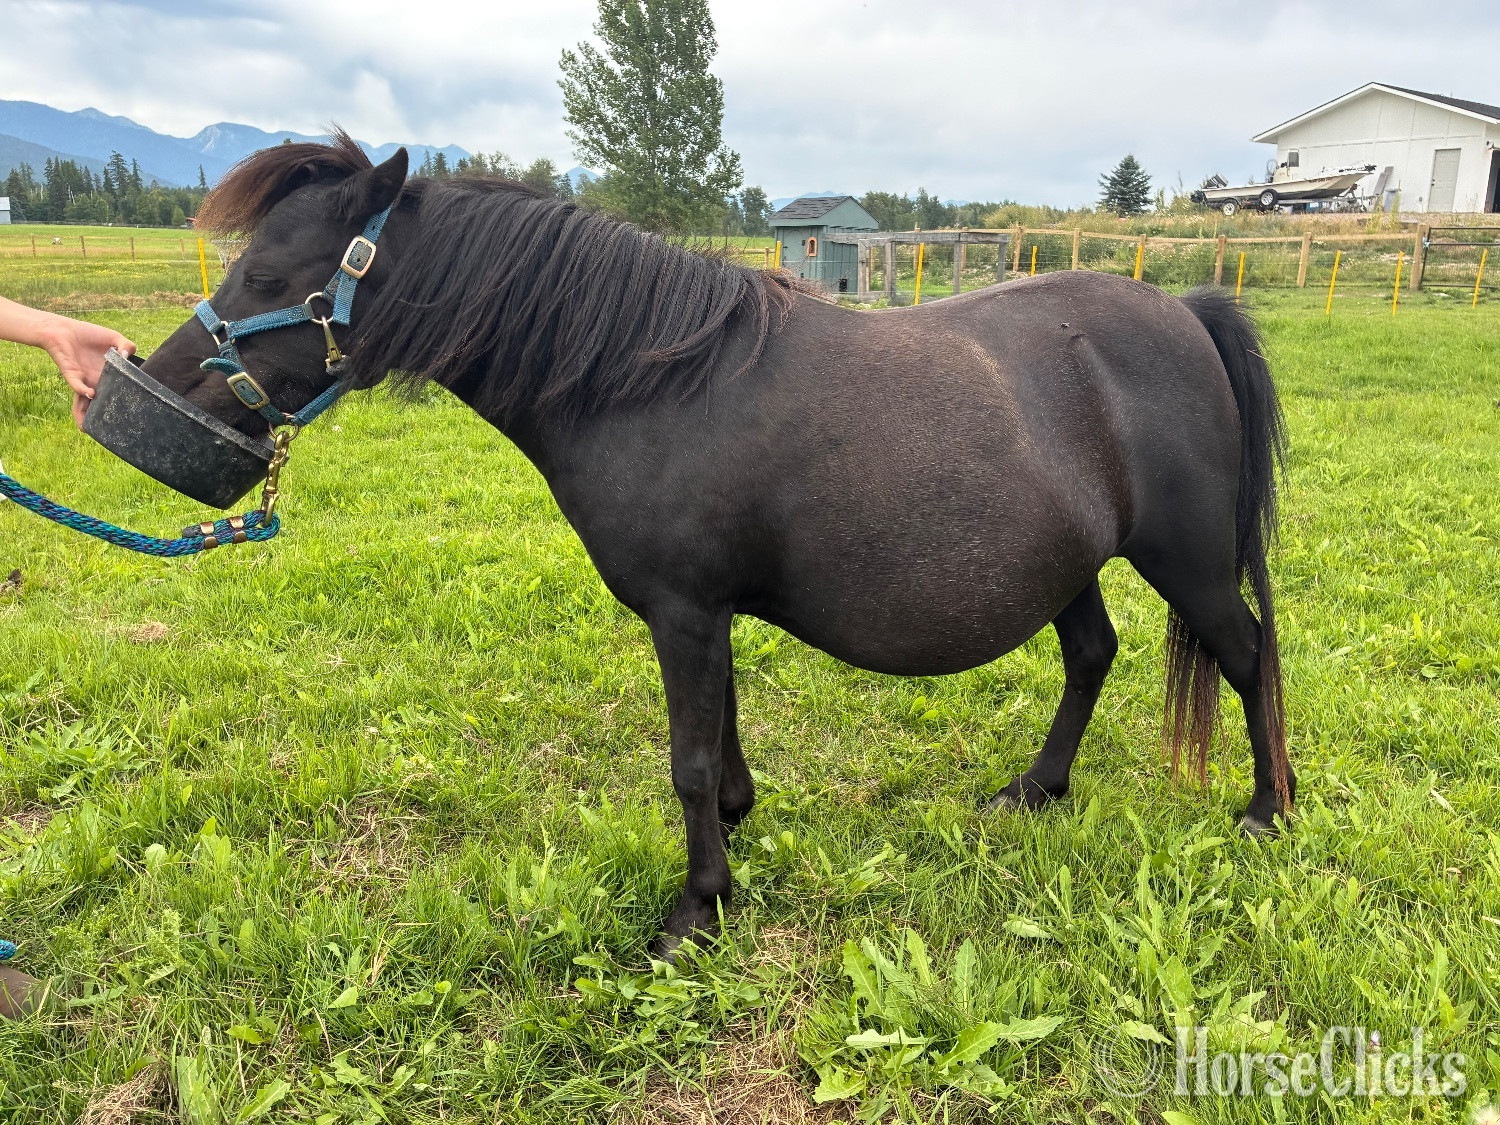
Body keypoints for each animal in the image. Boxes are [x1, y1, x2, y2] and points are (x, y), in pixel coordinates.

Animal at [139, 135, 1293, 956]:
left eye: (266, 277)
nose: (156, 386)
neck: (649, 378)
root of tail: (1186, 313)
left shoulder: (683, 610)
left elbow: (688, 759)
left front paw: (698, 908)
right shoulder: (705, 613)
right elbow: (724, 734)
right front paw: (737, 828)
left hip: (1187, 560)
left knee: (1248, 657)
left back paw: (1267, 812)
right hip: (1072, 565)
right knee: (1091, 655)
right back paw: (1036, 790)